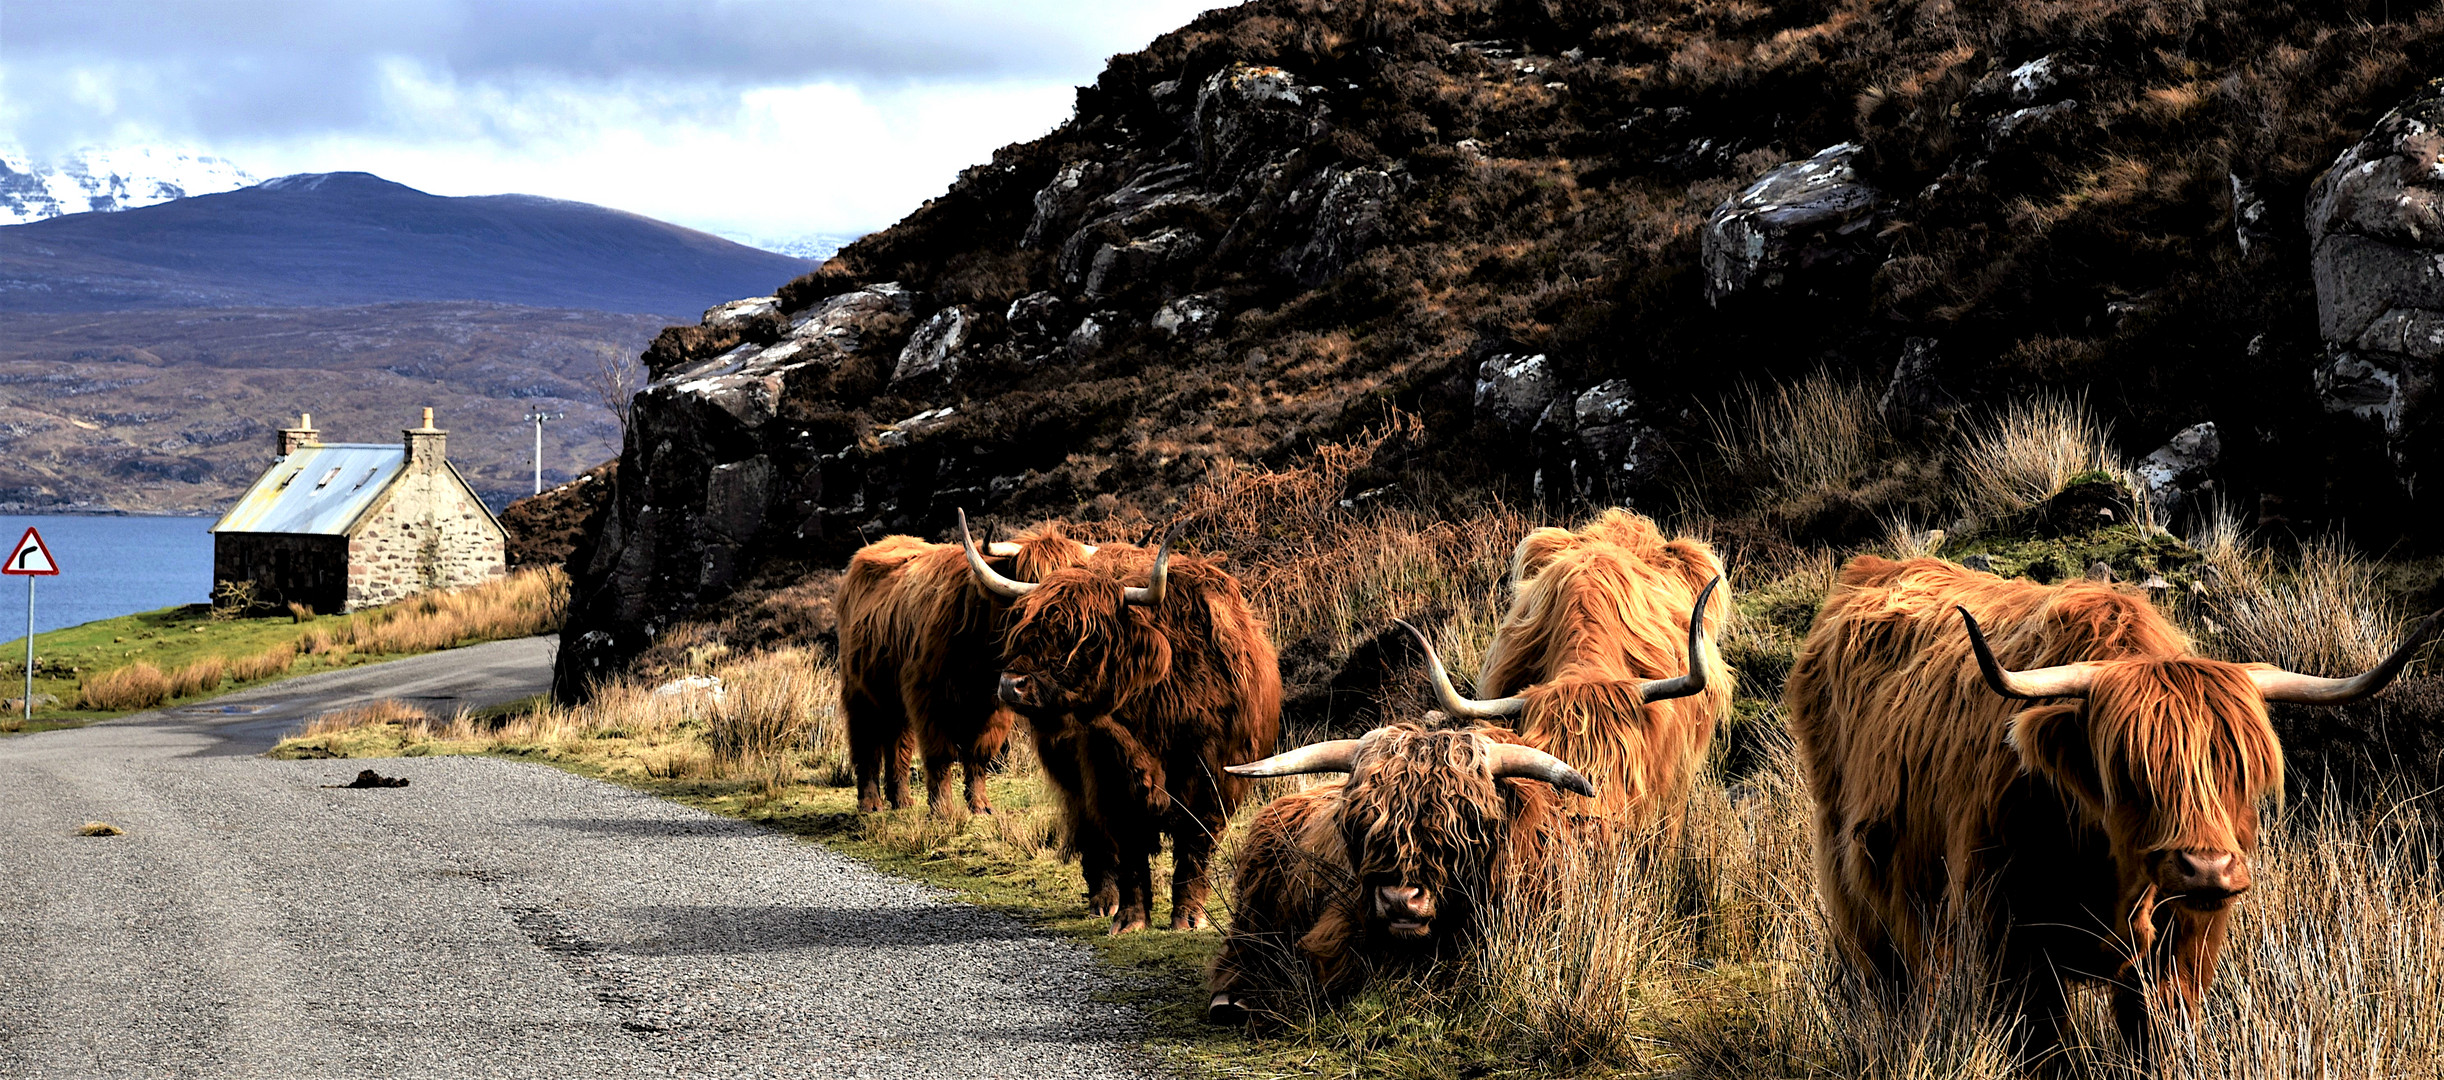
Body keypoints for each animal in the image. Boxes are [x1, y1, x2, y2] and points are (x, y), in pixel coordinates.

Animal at [845, 522, 1104, 811]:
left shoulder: (996, 707)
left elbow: (980, 753)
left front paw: (980, 805)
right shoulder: (929, 698)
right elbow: (940, 754)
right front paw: (943, 809)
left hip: (891, 694)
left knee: (898, 741)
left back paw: (902, 800)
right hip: (858, 690)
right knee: (865, 742)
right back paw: (871, 803)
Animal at [962, 510, 1290, 933]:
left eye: (1083, 635)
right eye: (1025, 623)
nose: (1010, 684)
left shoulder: (1214, 776)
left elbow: (1194, 846)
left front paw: (1188, 917)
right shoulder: (1109, 773)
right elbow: (1128, 847)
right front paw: (1130, 919)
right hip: (1070, 774)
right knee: (1092, 833)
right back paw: (1104, 901)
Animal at [1779, 557, 2444, 1055]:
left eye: (2239, 769)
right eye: (2130, 771)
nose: (2207, 869)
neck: (2114, 882)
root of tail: (1873, 569)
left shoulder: (2180, 956)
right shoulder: (2012, 949)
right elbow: (2047, 1050)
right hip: (1860, 884)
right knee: (1887, 977)